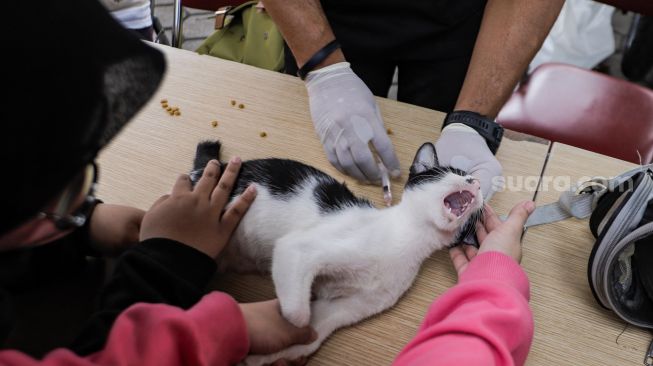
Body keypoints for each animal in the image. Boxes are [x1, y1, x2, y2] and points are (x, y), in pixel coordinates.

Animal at [190, 141, 484, 366]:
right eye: (452, 172)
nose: (477, 182)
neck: (409, 238)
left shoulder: (346, 307)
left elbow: (314, 332)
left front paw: (264, 353)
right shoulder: (297, 248)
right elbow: (298, 314)